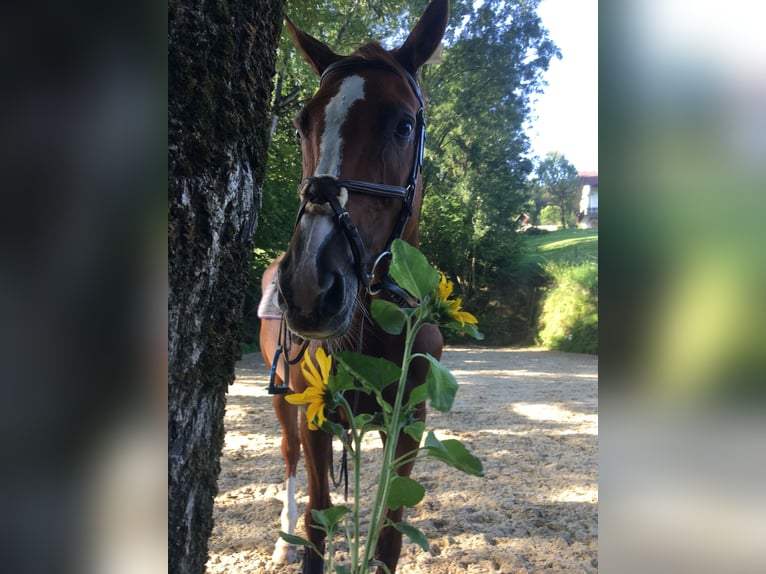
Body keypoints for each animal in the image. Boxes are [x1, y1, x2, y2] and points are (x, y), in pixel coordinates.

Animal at [259, 1, 450, 572]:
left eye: (404, 125)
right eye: (302, 124)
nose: (308, 285)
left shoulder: (407, 424)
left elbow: (388, 534)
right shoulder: (316, 416)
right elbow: (318, 519)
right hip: (286, 402)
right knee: (288, 459)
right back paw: (281, 538)